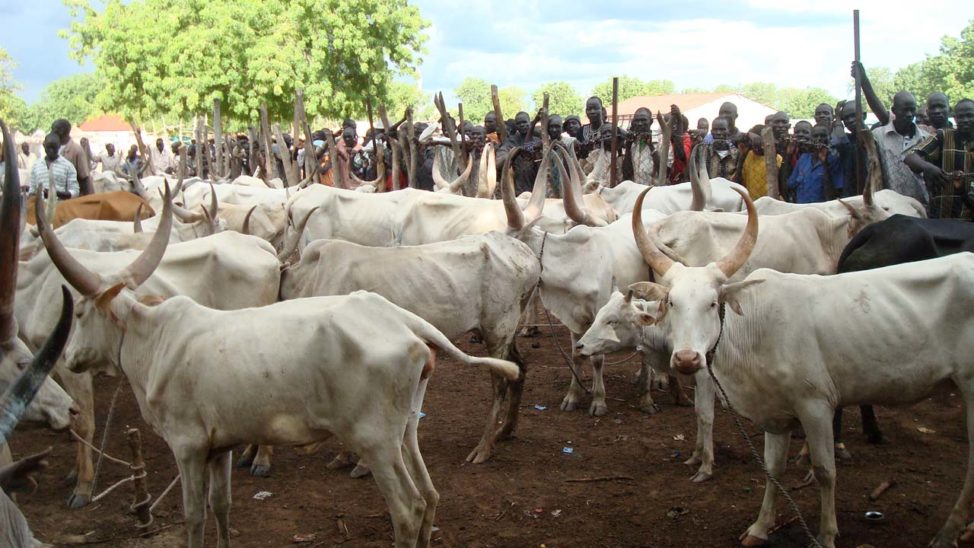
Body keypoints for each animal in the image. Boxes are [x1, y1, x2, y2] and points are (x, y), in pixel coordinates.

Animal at [19, 193, 280, 508]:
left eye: (79, 313)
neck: (33, 286)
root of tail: (261, 246)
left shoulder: (71, 369)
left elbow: (83, 422)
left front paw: (83, 487)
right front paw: (75, 472)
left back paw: (262, 460)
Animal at [279, 232, 539, 464]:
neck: (307, 281)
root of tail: (528, 256)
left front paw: (351, 457)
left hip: (498, 330)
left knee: (501, 384)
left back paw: (483, 447)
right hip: (506, 332)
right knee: (520, 367)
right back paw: (505, 430)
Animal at [626, 183, 974, 548]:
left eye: (712, 303)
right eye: (671, 303)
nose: (687, 359)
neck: (755, 328)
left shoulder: (816, 406)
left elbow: (826, 472)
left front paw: (826, 533)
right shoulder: (776, 414)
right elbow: (772, 468)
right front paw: (760, 527)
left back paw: (948, 532)